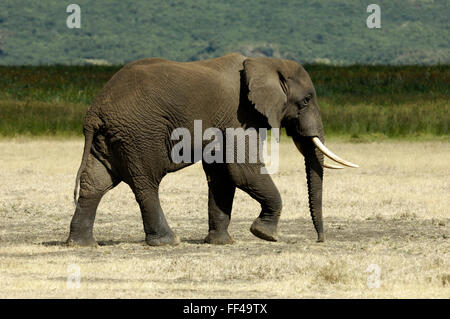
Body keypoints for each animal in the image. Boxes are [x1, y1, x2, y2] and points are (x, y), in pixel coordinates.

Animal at [66, 53, 358, 248]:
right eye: (306, 100)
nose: (320, 240)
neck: (263, 63)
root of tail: (94, 111)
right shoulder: (240, 115)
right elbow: (243, 171)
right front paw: (265, 234)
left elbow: (222, 175)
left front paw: (222, 242)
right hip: (139, 134)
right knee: (146, 182)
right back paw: (170, 241)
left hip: (109, 138)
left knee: (95, 183)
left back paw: (82, 244)